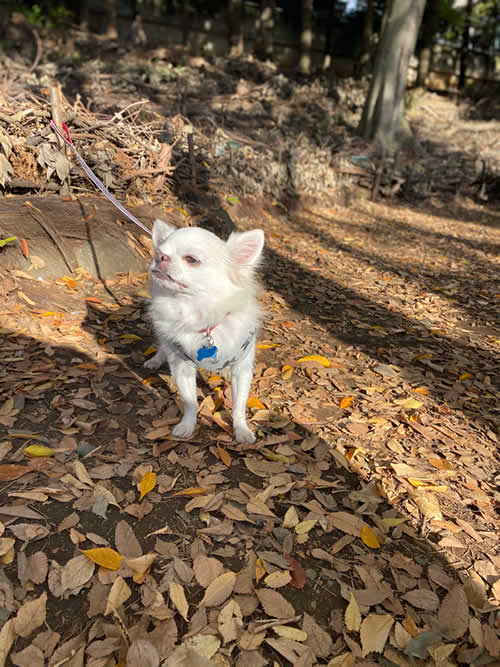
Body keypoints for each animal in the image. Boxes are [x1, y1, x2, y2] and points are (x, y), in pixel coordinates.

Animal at [144, 219, 264, 446]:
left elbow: (239, 405)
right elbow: (190, 401)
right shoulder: (181, 366)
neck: (200, 315)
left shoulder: (242, 369)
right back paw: (155, 360)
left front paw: (241, 430)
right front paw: (187, 426)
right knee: (163, 345)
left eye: (191, 259)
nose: (160, 257)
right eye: (159, 252)